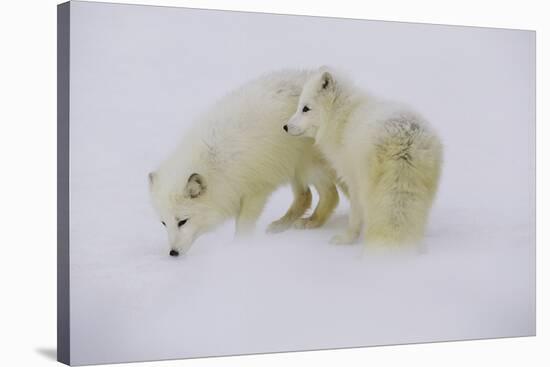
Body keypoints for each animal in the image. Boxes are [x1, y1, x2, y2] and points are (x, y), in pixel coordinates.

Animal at [150, 70, 340, 258]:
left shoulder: (257, 189)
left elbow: (243, 225)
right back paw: (280, 225)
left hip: (308, 166)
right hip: (292, 166)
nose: (173, 253)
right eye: (163, 223)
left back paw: (311, 222)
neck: (216, 162)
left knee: (331, 196)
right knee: (306, 197)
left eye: (182, 221)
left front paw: (240, 247)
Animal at [284, 68, 444, 247]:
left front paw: (348, 238)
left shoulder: (352, 179)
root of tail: (404, 140)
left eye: (305, 109)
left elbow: (355, 214)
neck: (341, 115)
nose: (285, 127)